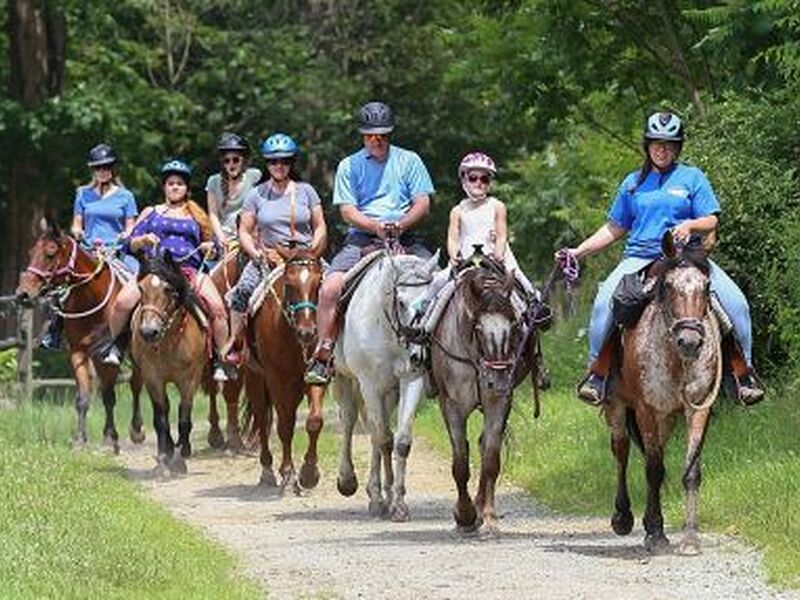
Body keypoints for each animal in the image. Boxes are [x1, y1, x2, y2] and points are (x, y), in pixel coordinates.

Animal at [15, 218, 144, 452]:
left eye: (50, 253)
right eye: (31, 252)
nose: (23, 294)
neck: (91, 298)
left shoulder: (107, 357)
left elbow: (109, 395)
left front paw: (110, 439)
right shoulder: (78, 352)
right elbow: (83, 398)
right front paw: (80, 439)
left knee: (136, 384)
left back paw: (137, 430)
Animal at [131, 250, 208, 474]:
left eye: (167, 289)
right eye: (140, 288)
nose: (149, 332)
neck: (170, 342)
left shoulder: (191, 379)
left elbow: (184, 417)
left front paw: (182, 457)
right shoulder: (153, 378)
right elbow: (160, 420)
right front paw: (165, 459)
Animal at [334, 248, 440, 520]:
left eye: (430, 301)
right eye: (400, 302)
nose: (418, 352)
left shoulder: (411, 380)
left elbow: (400, 441)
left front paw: (397, 503)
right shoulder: (369, 384)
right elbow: (383, 440)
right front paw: (387, 499)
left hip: (388, 392)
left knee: (374, 431)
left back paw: (377, 495)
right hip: (346, 378)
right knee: (350, 420)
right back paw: (349, 482)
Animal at [604, 232, 720, 556]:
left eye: (706, 286)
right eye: (668, 286)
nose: (690, 342)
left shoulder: (699, 408)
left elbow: (690, 471)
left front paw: (690, 539)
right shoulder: (645, 408)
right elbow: (653, 469)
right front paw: (656, 534)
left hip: (666, 417)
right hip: (617, 406)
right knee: (621, 451)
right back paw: (623, 518)